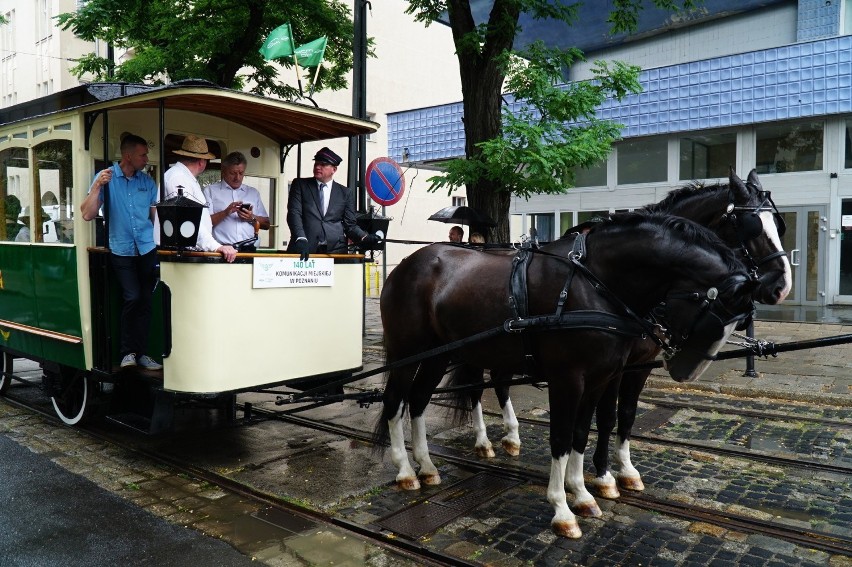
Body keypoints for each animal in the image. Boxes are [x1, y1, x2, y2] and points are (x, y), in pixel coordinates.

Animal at [376, 213, 756, 536]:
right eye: (717, 318)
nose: (683, 370)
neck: (595, 284)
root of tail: (407, 264)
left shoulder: (601, 378)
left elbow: (583, 431)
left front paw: (583, 491)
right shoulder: (568, 379)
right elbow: (561, 436)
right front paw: (562, 508)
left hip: (440, 354)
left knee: (419, 400)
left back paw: (427, 466)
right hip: (408, 353)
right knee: (396, 402)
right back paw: (406, 470)